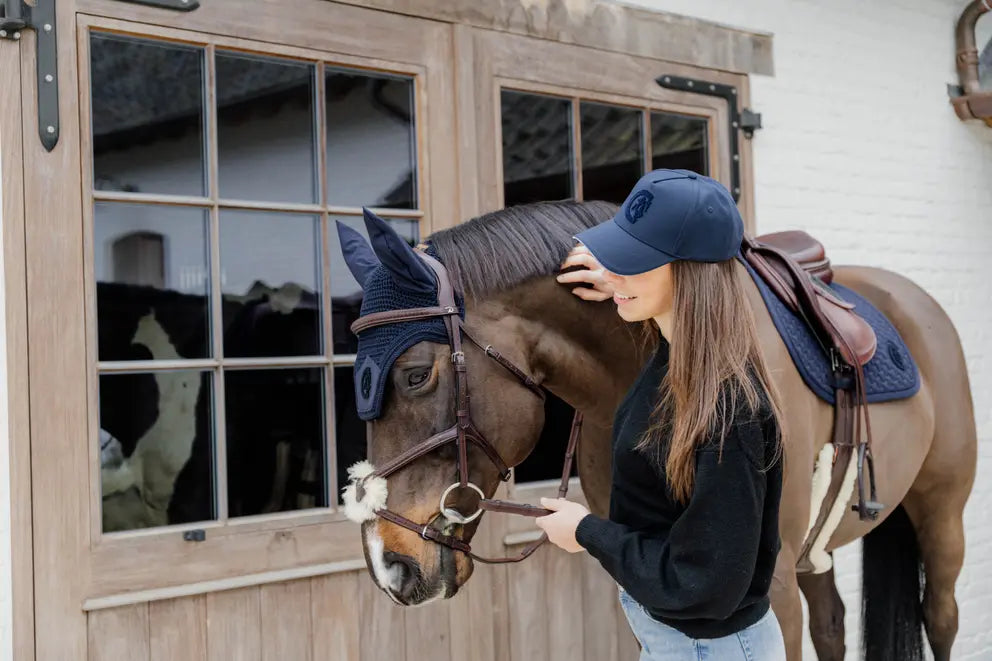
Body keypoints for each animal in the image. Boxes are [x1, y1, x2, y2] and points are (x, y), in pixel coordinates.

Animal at [340, 200, 976, 660]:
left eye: (415, 374)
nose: (387, 563)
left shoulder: (769, 587)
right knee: (833, 626)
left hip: (941, 514)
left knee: (941, 617)